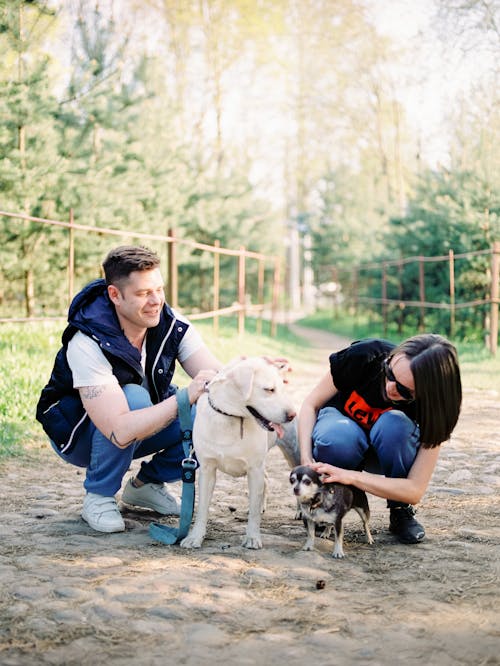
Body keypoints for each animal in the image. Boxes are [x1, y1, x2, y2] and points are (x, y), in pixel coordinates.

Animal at [181, 356, 294, 548]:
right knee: (266, 481)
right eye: (269, 389)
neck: (231, 416)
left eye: (282, 389)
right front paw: (195, 537)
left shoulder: (254, 469)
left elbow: (254, 514)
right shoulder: (207, 470)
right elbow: (202, 508)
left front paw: (252, 537)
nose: (292, 415)